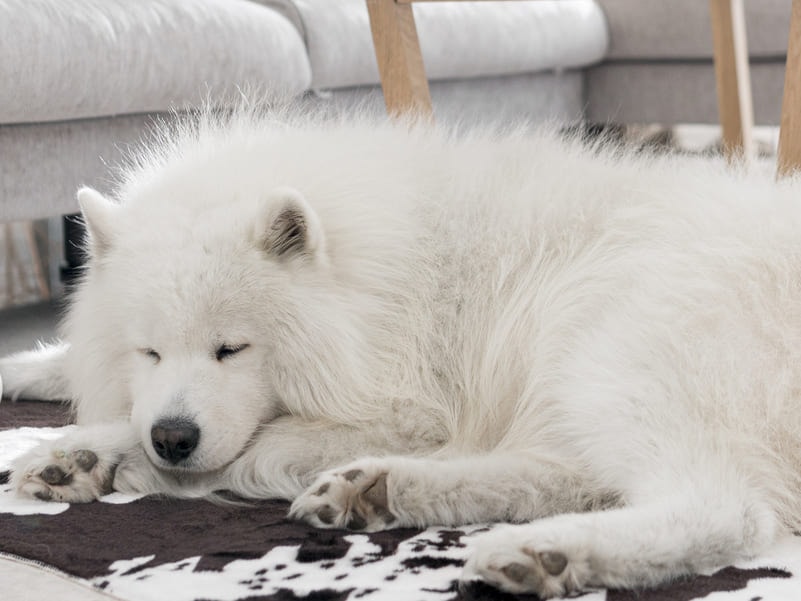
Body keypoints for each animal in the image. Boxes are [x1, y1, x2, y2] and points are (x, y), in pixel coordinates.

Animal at [1, 110, 800, 596]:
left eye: (231, 348)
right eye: (149, 351)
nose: (171, 435)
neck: (372, 282)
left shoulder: (404, 407)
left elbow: (247, 448)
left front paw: (92, 454)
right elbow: (67, 363)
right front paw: (53, 412)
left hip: (611, 343)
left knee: (724, 509)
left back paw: (542, 553)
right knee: (571, 474)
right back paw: (382, 490)